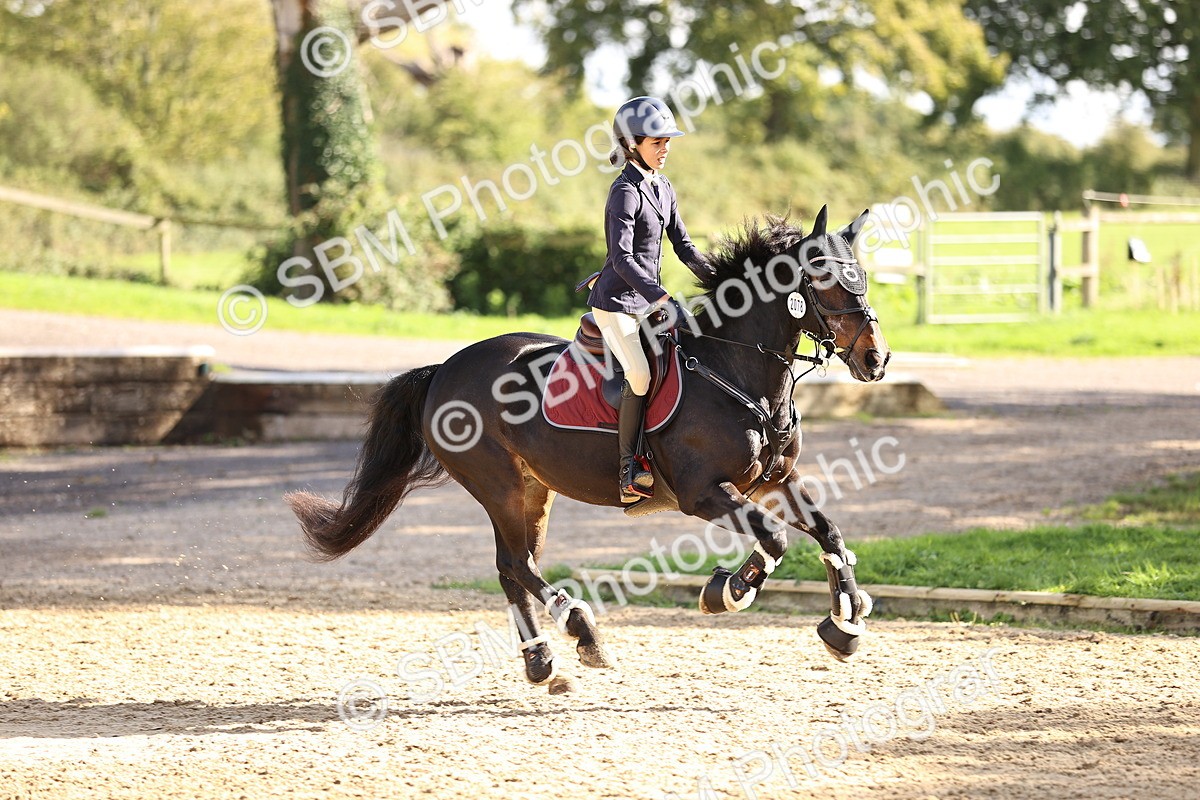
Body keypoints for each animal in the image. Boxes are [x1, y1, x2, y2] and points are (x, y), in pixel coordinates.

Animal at [286, 205, 891, 688]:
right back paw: (581, 630)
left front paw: (844, 624)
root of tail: (443, 370)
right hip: (499, 486)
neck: (736, 369)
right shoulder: (704, 493)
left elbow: (830, 534)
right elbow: (774, 539)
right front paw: (727, 590)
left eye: (862, 276)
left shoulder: (775, 481)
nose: (876, 358)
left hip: (534, 490)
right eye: (823, 277)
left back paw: (542, 662)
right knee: (515, 562)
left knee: (512, 566)